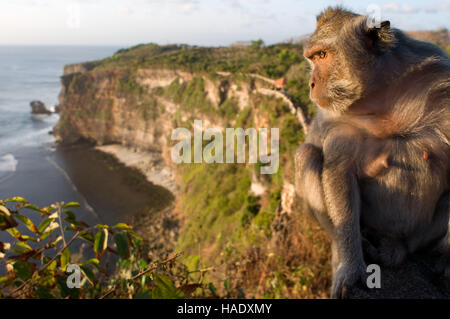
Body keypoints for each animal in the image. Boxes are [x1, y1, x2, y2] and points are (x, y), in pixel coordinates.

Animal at [294, 6, 448, 298]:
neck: (382, 98)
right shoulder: (337, 122)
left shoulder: (441, 84)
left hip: (423, 235)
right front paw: (350, 266)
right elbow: (339, 174)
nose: (310, 83)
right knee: (306, 155)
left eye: (323, 55)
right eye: (312, 58)